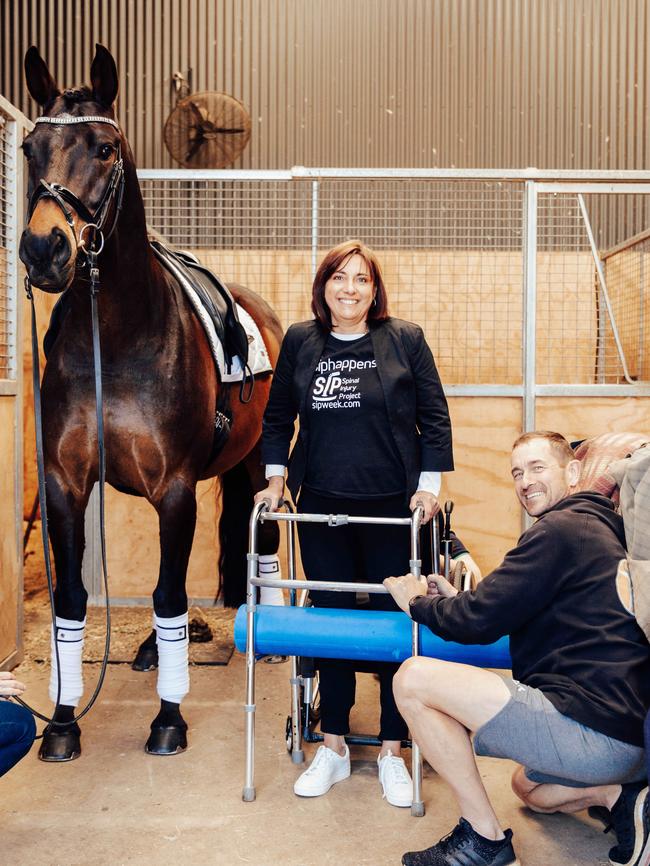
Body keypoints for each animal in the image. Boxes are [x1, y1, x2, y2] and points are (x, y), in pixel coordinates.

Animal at [17, 44, 280, 760]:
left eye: (105, 148)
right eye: (28, 147)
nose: (43, 248)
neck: (118, 333)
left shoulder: (176, 488)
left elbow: (166, 594)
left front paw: (169, 718)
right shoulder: (64, 484)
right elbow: (72, 598)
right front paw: (63, 723)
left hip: (261, 467)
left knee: (264, 539)